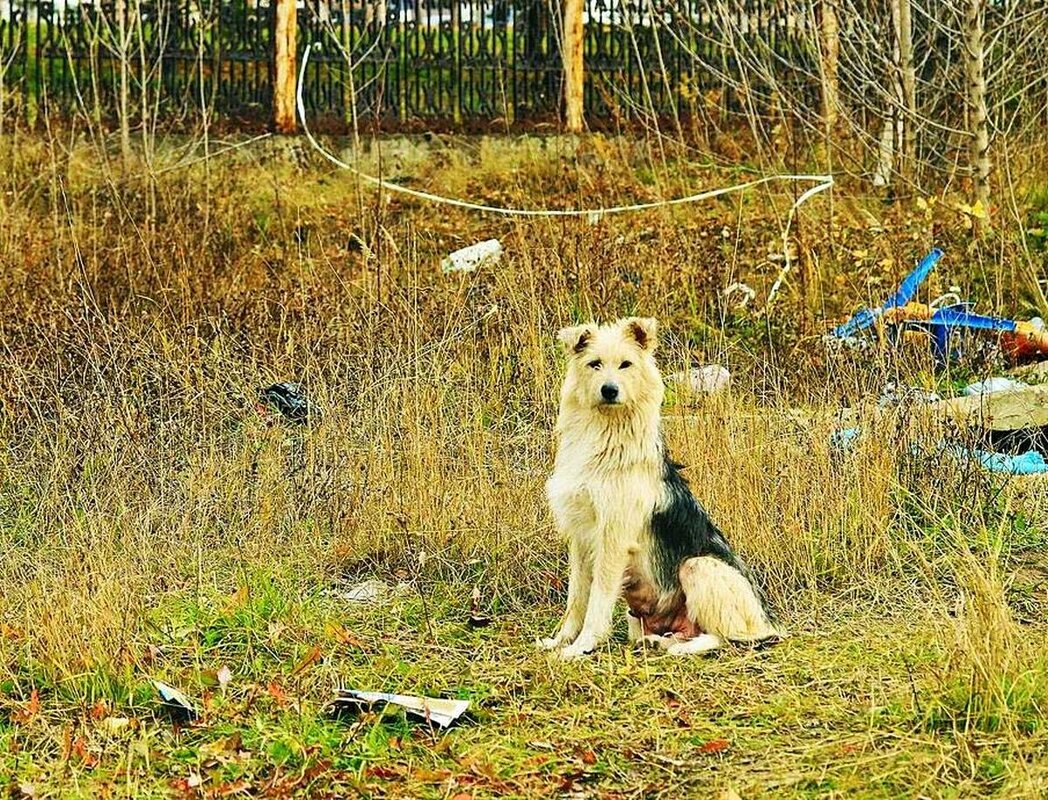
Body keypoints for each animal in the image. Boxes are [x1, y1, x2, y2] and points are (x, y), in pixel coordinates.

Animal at [544, 316, 783, 658]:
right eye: (594, 364)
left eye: (626, 364)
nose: (609, 390)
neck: (606, 435)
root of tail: (767, 621)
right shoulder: (580, 538)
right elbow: (576, 598)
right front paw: (561, 640)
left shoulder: (613, 539)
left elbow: (597, 601)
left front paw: (583, 645)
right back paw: (658, 641)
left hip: (698, 566)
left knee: (726, 637)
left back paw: (684, 648)